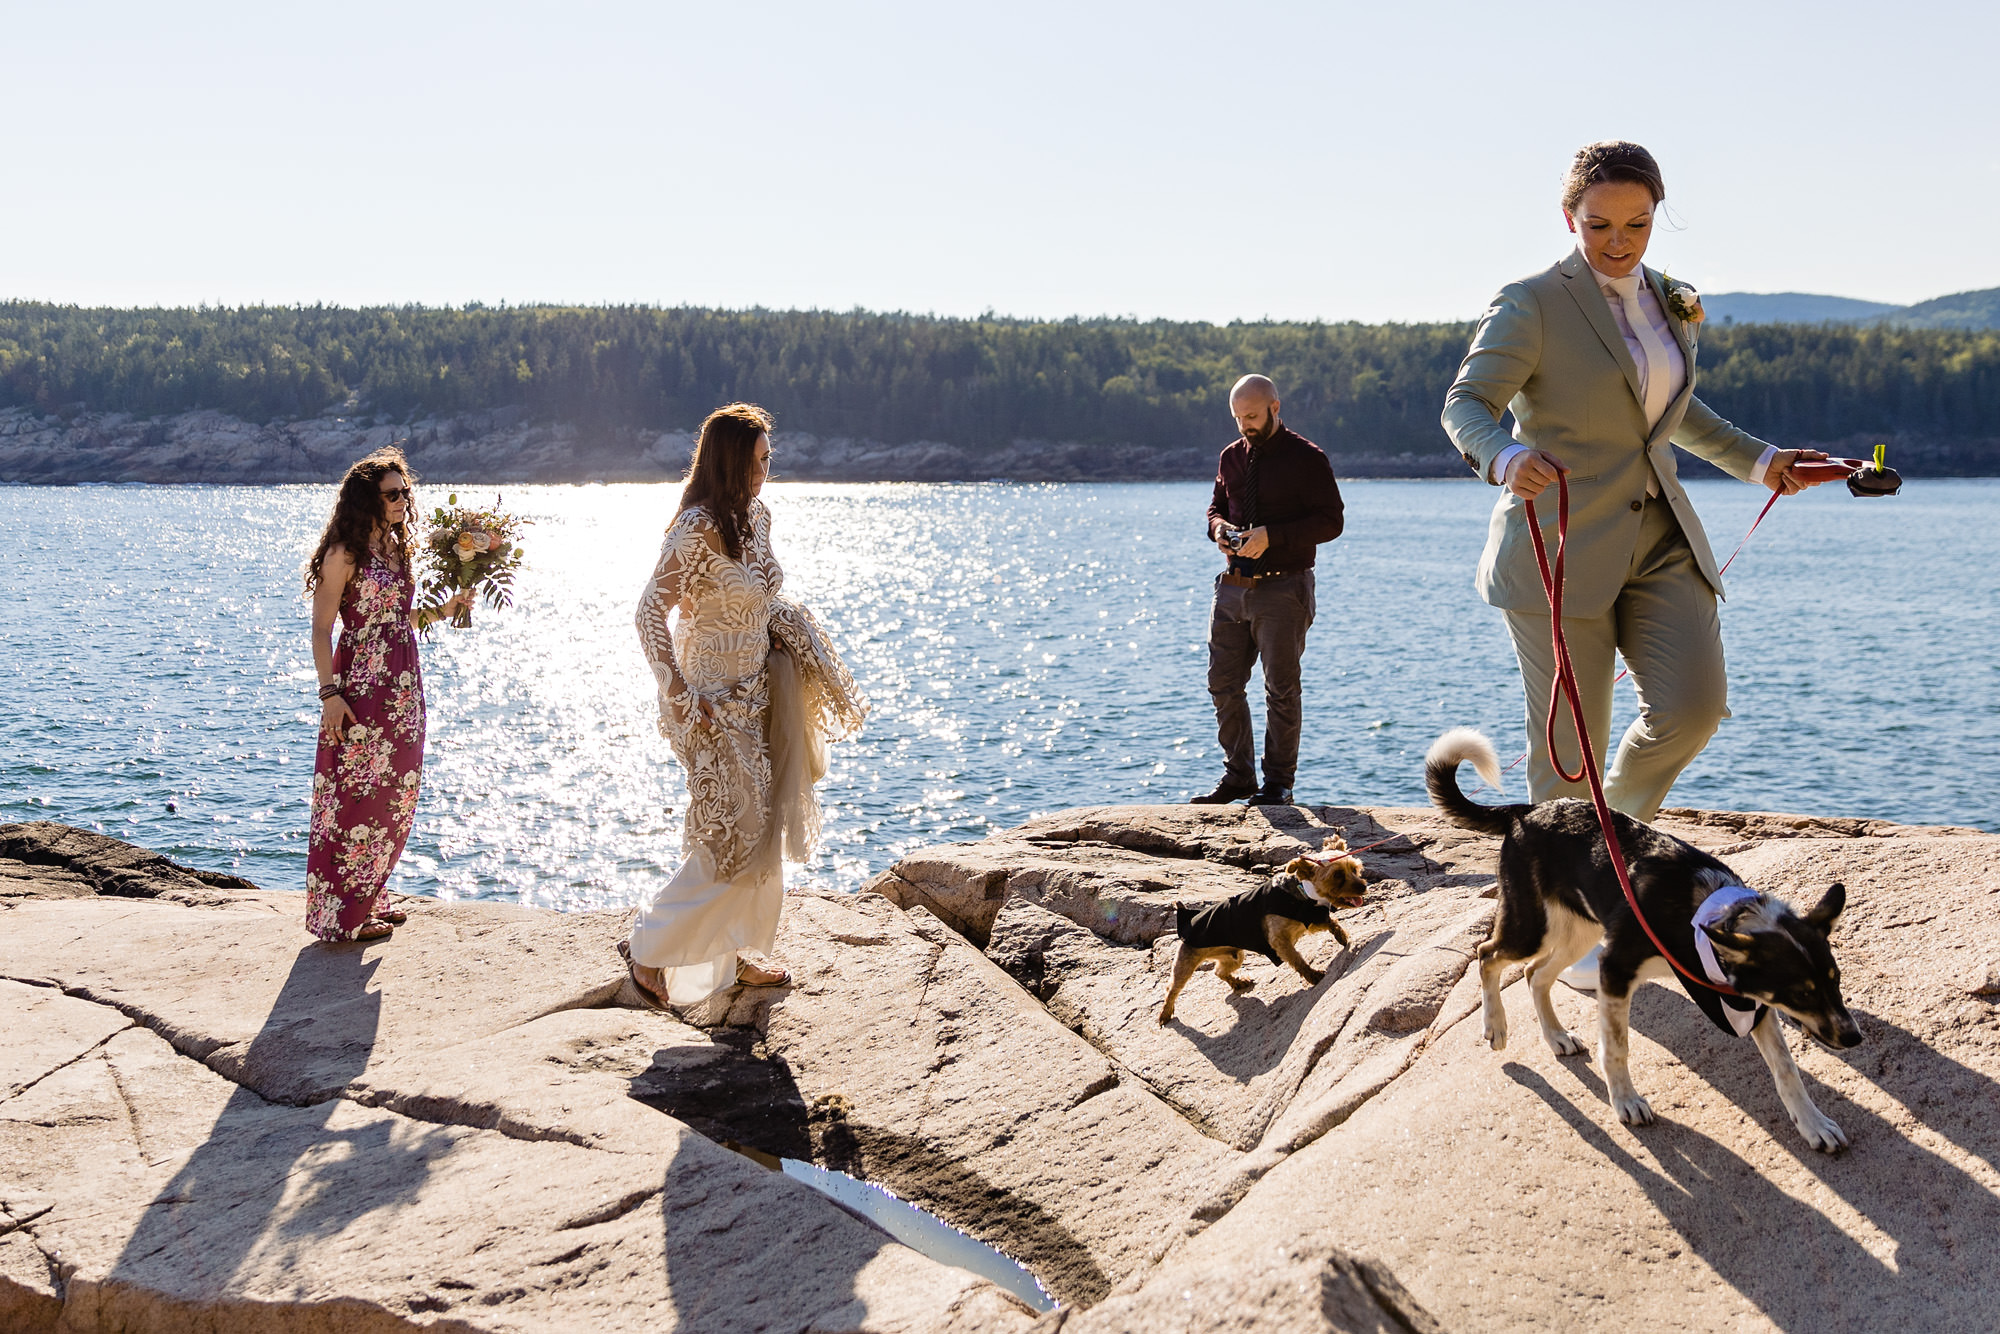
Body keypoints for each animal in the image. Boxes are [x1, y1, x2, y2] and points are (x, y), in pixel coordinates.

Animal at [1168, 840, 1368, 1032]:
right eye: (1337, 875)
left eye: (1355, 869)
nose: (1363, 886)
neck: (1301, 892)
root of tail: (1186, 919)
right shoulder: (1279, 940)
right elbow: (1298, 960)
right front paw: (1313, 976)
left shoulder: (1310, 919)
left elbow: (1331, 923)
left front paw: (1342, 936)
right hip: (1187, 960)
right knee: (1173, 987)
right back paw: (1165, 1014)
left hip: (1234, 956)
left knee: (1218, 971)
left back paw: (1238, 983)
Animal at [1424, 724, 1856, 1152]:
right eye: (1800, 994)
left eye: (1835, 982)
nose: (1854, 1037)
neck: (1703, 912)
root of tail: (1528, 811)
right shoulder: (1615, 970)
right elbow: (1617, 1048)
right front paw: (1626, 1101)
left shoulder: (1751, 998)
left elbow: (1786, 1068)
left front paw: (1812, 1123)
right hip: (1532, 928)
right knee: (1488, 954)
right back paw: (1495, 1025)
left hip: (1580, 933)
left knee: (1535, 975)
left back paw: (1556, 1036)